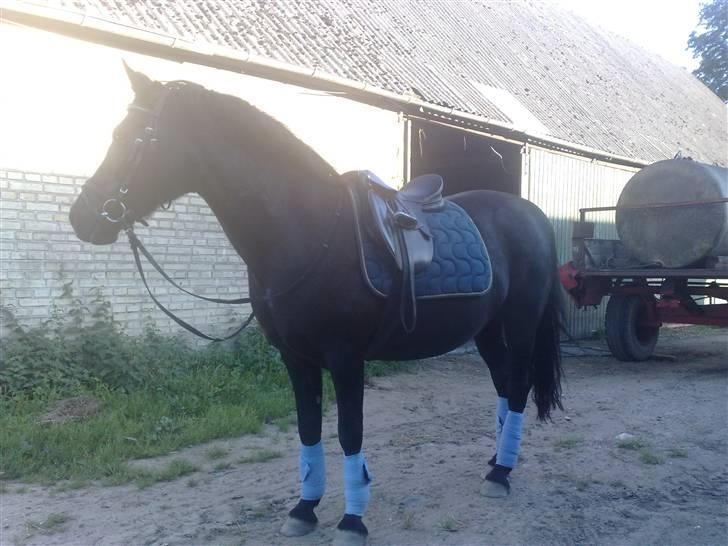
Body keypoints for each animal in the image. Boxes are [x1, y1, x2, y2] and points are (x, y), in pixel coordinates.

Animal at [69, 66, 563, 546]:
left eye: (134, 138)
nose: (82, 217)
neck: (308, 232)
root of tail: (533, 215)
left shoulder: (345, 358)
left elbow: (348, 432)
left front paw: (352, 520)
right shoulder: (295, 358)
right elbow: (307, 429)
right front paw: (304, 509)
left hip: (520, 324)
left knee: (518, 386)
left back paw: (501, 473)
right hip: (486, 329)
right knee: (504, 386)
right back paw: (496, 460)